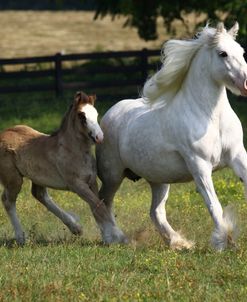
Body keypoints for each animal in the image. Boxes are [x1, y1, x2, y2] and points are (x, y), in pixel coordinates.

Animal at [96, 23, 247, 250]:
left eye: (242, 51)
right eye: (223, 53)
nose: (245, 84)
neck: (211, 117)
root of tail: (110, 113)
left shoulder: (238, 155)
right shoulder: (199, 165)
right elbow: (214, 205)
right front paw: (223, 241)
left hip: (159, 179)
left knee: (156, 212)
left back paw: (178, 242)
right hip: (112, 175)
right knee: (103, 202)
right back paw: (114, 238)